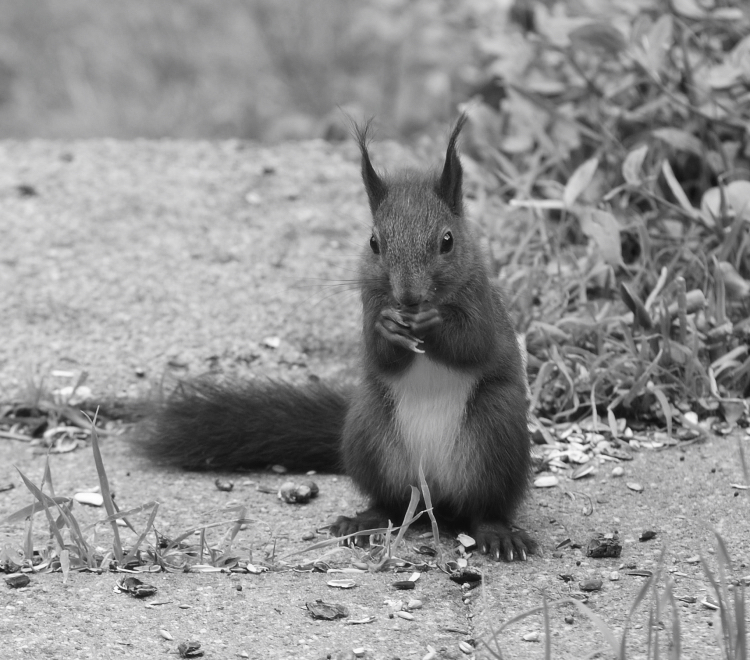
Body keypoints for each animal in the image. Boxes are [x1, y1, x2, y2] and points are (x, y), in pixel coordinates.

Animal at [141, 114, 536, 564]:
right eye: (374, 243)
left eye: (448, 241)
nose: (408, 297)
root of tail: (436, 496)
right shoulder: (368, 302)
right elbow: (379, 354)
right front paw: (388, 326)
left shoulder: (483, 303)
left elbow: (475, 344)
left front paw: (434, 321)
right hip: (369, 433)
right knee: (390, 502)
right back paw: (363, 522)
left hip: (495, 433)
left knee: (485, 507)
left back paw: (497, 534)